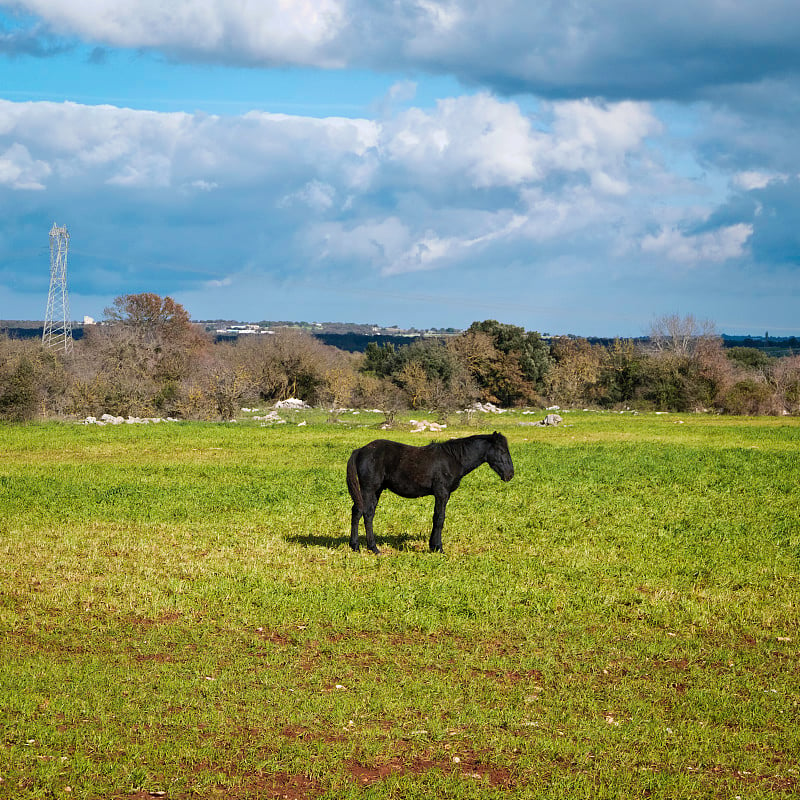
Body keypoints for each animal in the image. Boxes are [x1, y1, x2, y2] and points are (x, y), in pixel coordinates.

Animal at [346, 434, 512, 552]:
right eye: (502, 451)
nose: (510, 474)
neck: (453, 459)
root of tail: (360, 450)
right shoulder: (441, 493)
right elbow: (439, 518)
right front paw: (438, 547)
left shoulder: (443, 495)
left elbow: (436, 517)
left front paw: (433, 546)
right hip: (369, 489)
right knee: (362, 512)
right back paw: (367, 547)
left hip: (376, 490)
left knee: (363, 513)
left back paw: (360, 546)